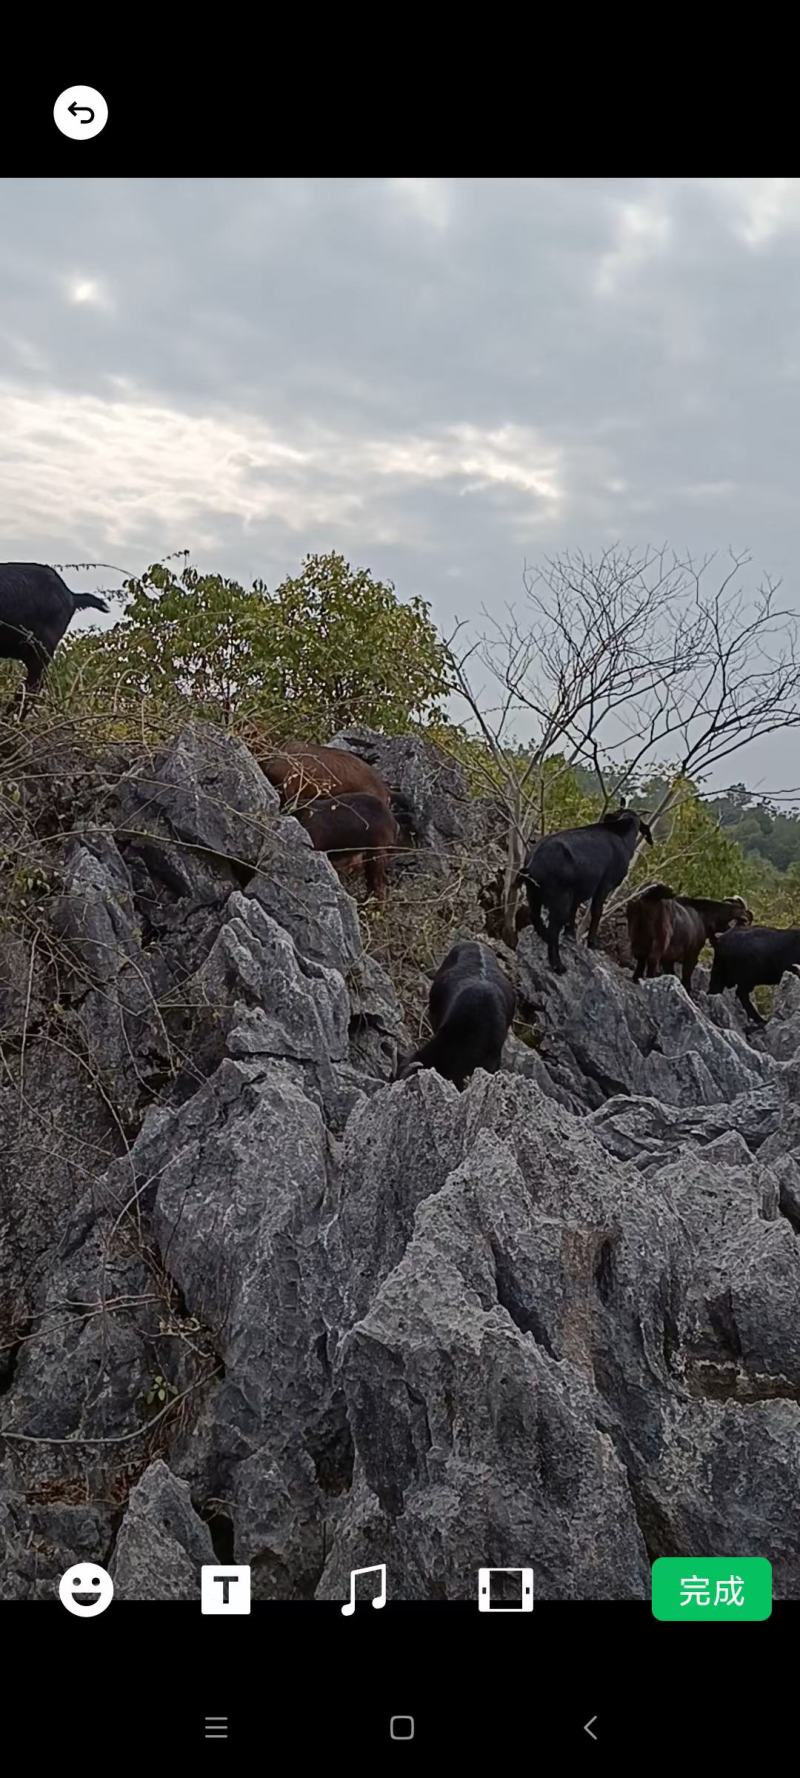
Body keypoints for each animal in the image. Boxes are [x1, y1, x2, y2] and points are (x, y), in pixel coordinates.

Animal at [526, 810, 650, 974]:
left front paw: (570, 934)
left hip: (533, 894)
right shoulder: (604, 886)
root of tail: (534, 861)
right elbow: (597, 912)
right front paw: (592, 943)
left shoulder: (578, 891)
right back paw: (558, 965)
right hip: (560, 902)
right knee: (553, 930)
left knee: (535, 917)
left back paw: (545, 937)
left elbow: (574, 911)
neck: (621, 836)